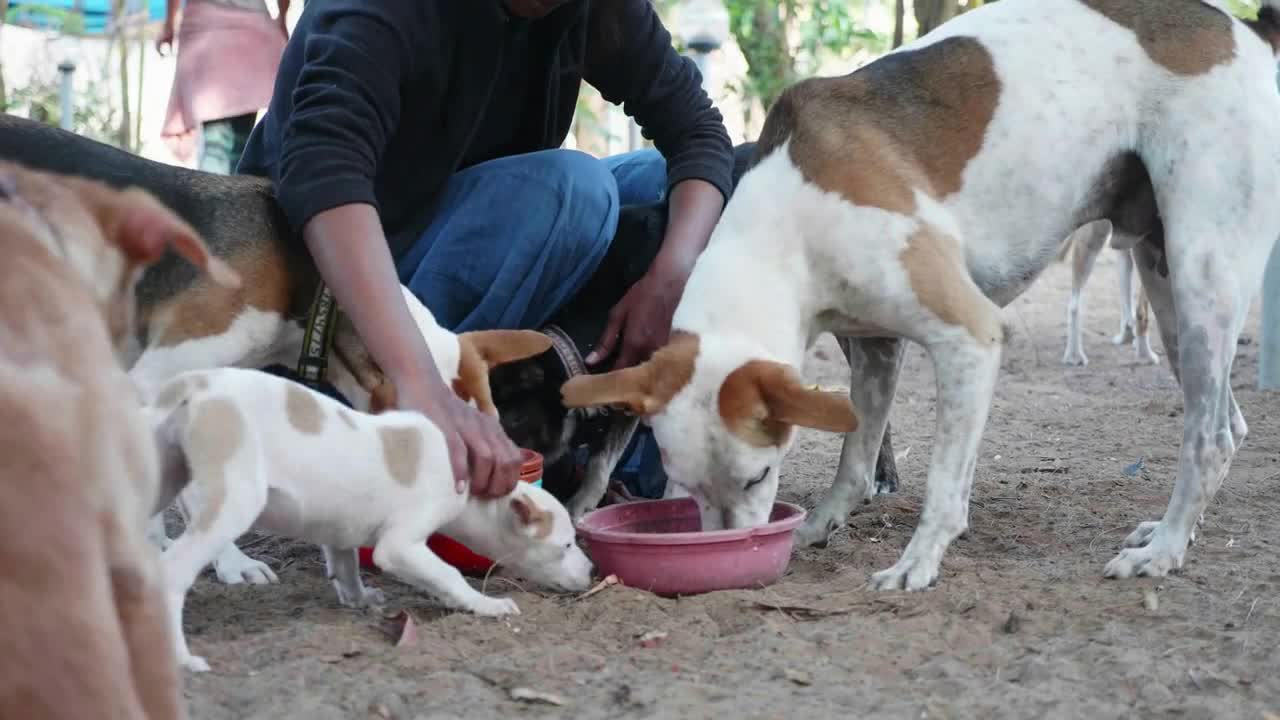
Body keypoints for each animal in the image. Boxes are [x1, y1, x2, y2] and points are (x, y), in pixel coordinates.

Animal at [146, 366, 593, 671]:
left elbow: (346, 568)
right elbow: (447, 574)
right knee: (169, 575)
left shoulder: (340, 530)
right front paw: (486, 604)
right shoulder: (400, 548)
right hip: (232, 502)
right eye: (566, 545)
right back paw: (180, 659)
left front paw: (360, 600)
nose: (592, 572)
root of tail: (189, 385)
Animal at [568, 0, 1280, 589]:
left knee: (1211, 437)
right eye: (685, 488)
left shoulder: (971, 336)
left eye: (760, 477)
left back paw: (1162, 550)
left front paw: (918, 560)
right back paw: (1175, 532)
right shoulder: (874, 348)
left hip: (1201, 274)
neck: (781, 231)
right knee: (1227, 423)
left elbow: (943, 485)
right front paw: (820, 524)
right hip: (1166, 285)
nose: (730, 557)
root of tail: (1244, 28)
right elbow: (856, 459)